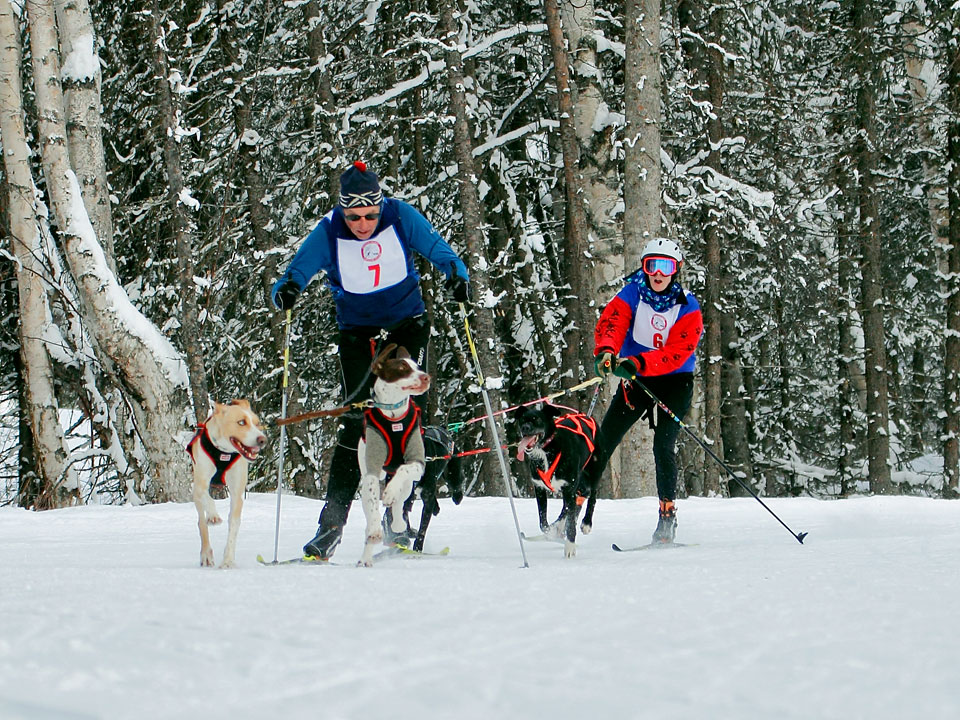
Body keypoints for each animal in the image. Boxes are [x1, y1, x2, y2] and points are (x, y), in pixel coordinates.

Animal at [186, 400, 266, 568]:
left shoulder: (237, 493)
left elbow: (233, 525)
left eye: (257, 423)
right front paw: (213, 515)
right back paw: (206, 554)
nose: (263, 440)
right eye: (241, 422)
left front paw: (228, 560)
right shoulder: (199, 484)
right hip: (196, 496)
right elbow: (208, 498)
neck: (224, 452)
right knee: (201, 523)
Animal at [360, 344, 432, 568]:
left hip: (409, 485)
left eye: (417, 366)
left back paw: (398, 521)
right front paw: (375, 530)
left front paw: (391, 492)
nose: (426, 377)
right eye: (402, 368)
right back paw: (366, 555)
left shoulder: (417, 463)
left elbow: (404, 469)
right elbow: (373, 505)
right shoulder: (371, 471)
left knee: (400, 501)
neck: (393, 415)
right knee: (370, 512)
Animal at [380, 424, 464, 556]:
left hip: (452, 474)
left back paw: (456, 497)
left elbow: (422, 528)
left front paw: (418, 547)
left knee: (456, 485)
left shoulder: (426, 497)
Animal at [520, 404, 596, 556]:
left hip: (595, 469)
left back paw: (586, 523)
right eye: (522, 420)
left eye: (537, 419)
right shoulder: (540, 488)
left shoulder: (569, 488)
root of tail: (584, 415)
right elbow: (543, 523)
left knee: (592, 495)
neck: (546, 451)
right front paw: (551, 533)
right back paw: (558, 526)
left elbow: (571, 523)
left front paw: (570, 547)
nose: (525, 427)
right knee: (573, 502)